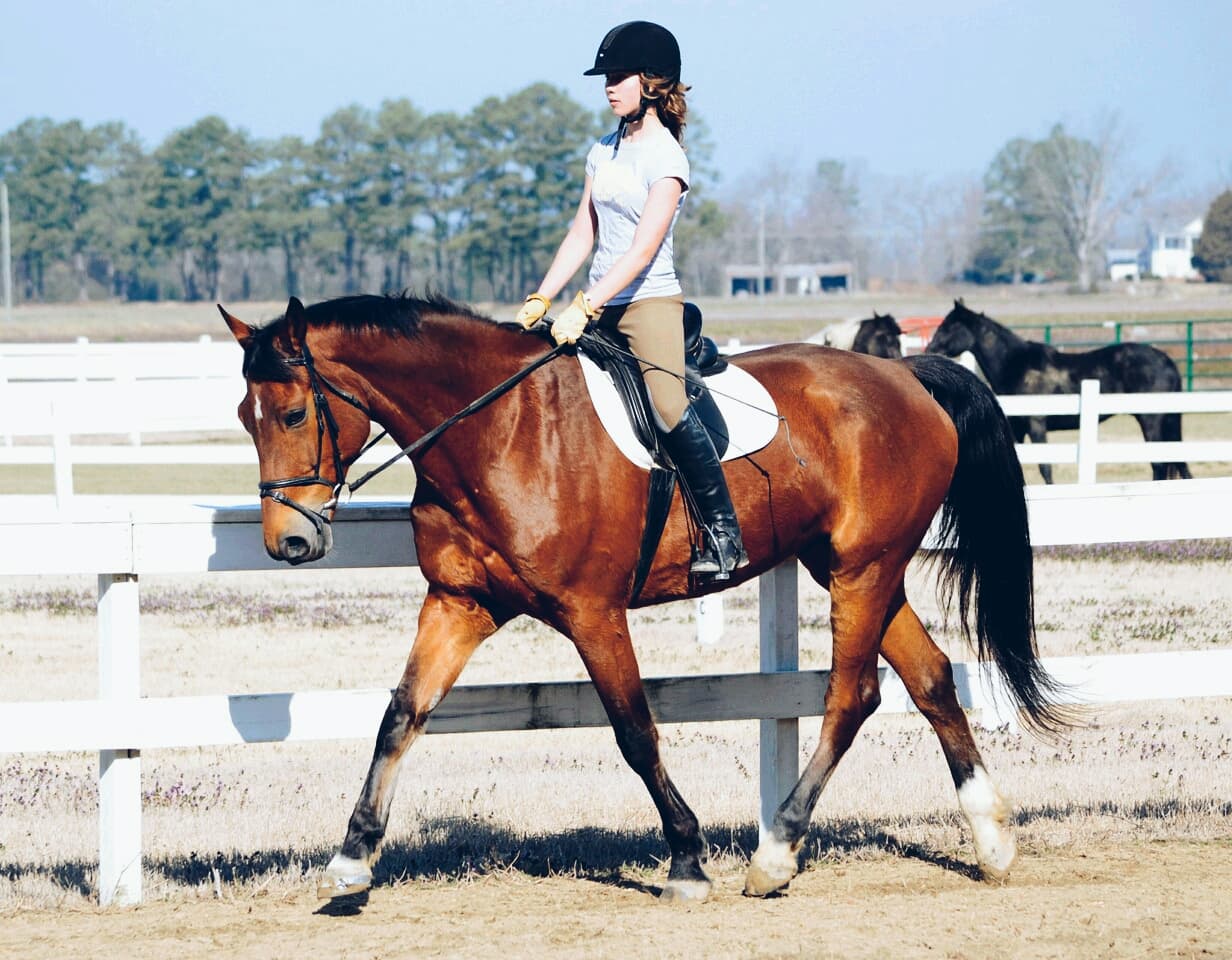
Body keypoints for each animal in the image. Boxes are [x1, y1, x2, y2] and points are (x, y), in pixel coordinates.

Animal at [219, 292, 1063, 904]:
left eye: (293, 413)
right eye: (242, 417)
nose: (288, 544)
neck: (499, 428)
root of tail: (906, 377)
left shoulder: (592, 612)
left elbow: (635, 732)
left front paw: (687, 859)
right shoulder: (459, 603)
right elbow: (401, 715)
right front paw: (352, 856)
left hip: (864, 569)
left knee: (851, 696)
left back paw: (776, 854)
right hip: (850, 568)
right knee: (931, 679)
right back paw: (992, 843)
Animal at [926, 301, 1193, 484]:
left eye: (950, 326)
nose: (930, 348)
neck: (1016, 364)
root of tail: (1166, 360)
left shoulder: (1037, 425)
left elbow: (1045, 467)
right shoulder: (1017, 428)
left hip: (1151, 420)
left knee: (1159, 464)